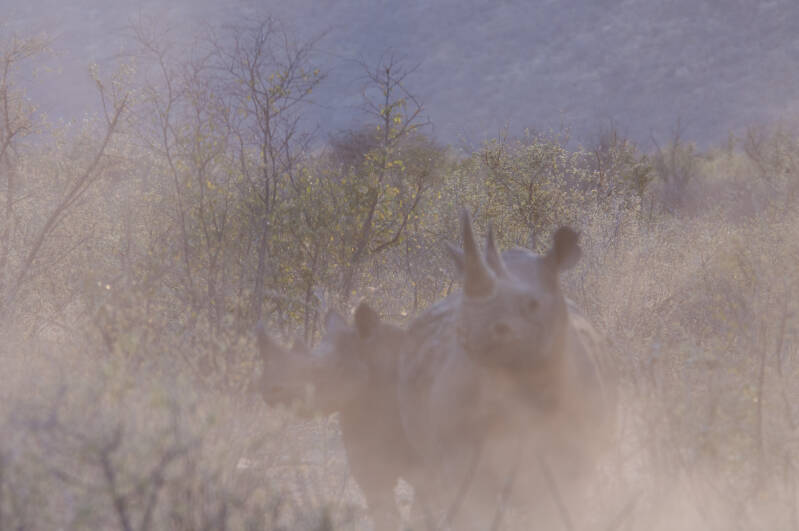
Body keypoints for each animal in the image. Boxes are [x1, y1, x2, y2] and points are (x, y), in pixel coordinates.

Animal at [397, 211, 615, 529]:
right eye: (463, 305)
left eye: (533, 304)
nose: (470, 332)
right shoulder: (461, 456)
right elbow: (471, 508)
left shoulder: (576, 458)